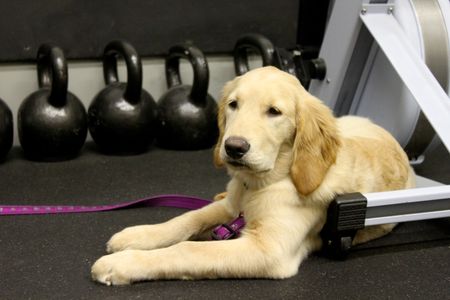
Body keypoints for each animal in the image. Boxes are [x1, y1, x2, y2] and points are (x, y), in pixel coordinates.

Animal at [90, 66, 414, 286]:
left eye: (274, 112)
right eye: (233, 104)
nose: (233, 147)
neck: (262, 183)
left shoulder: (269, 250)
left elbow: (188, 250)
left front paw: (123, 264)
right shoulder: (229, 208)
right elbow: (186, 219)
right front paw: (138, 235)